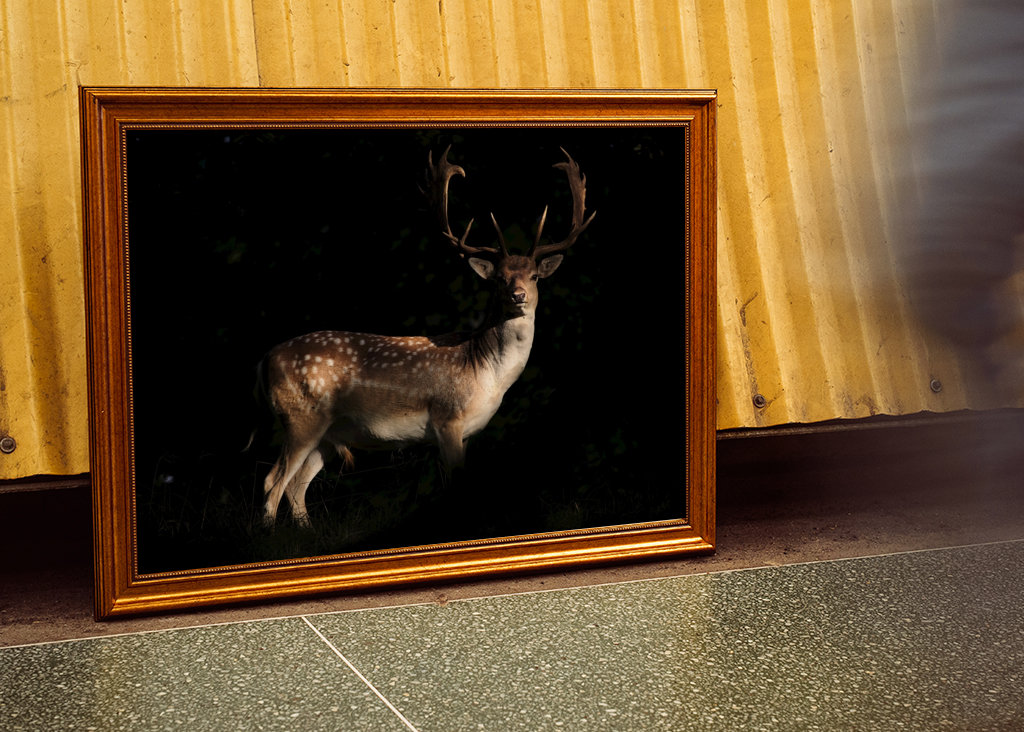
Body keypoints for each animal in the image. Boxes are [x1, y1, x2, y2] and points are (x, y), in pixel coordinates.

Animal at [257, 147, 595, 527]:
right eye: (499, 278)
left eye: (534, 276)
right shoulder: (447, 418)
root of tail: (265, 359)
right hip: (300, 417)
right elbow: (455, 485)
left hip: (330, 434)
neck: (486, 374)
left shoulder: (468, 432)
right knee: (273, 481)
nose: (517, 294)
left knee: (295, 486)